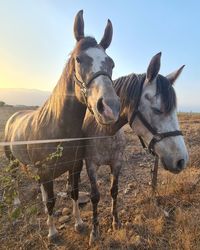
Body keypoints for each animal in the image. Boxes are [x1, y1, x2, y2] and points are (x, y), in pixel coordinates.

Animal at [4, 9, 120, 239]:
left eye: (111, 63)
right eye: (79, 59)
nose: (109, 107)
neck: (58, 129)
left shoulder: (75, 167)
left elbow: (73, 193)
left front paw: (79, 223)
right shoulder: (46, 172)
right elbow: (51, 201)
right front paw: (52, 232)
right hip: (11, 160)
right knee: (13, 178)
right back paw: (17, 202)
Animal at [82, 51, 188, 245]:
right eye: (157, 109)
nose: (181, 160)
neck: (103, 129)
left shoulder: (117, 163)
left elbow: (114, 191)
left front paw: (116, 222)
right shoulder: (90, 165)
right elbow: (95, 196)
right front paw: (94, 231)